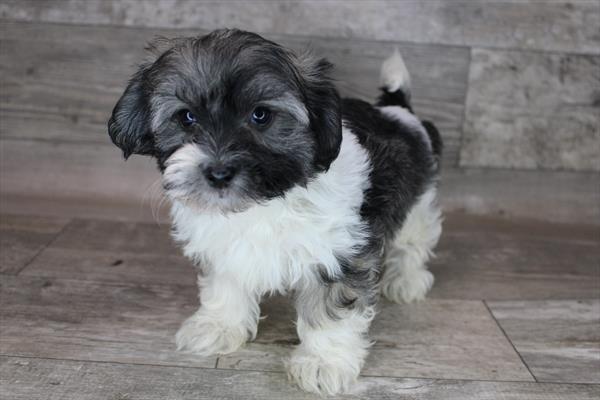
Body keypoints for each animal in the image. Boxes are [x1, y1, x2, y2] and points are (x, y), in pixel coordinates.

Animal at [109, 29, 440, 396]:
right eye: (186, 117)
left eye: (261, 115)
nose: (218, 173)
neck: (263, 202)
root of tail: (396, 112)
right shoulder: (224, 247)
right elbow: (225, 282)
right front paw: (218, 325)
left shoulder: (339, 252)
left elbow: (331, 307)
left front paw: (323, 362)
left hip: (418, 201)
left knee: (413, 241)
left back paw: (406, 280)